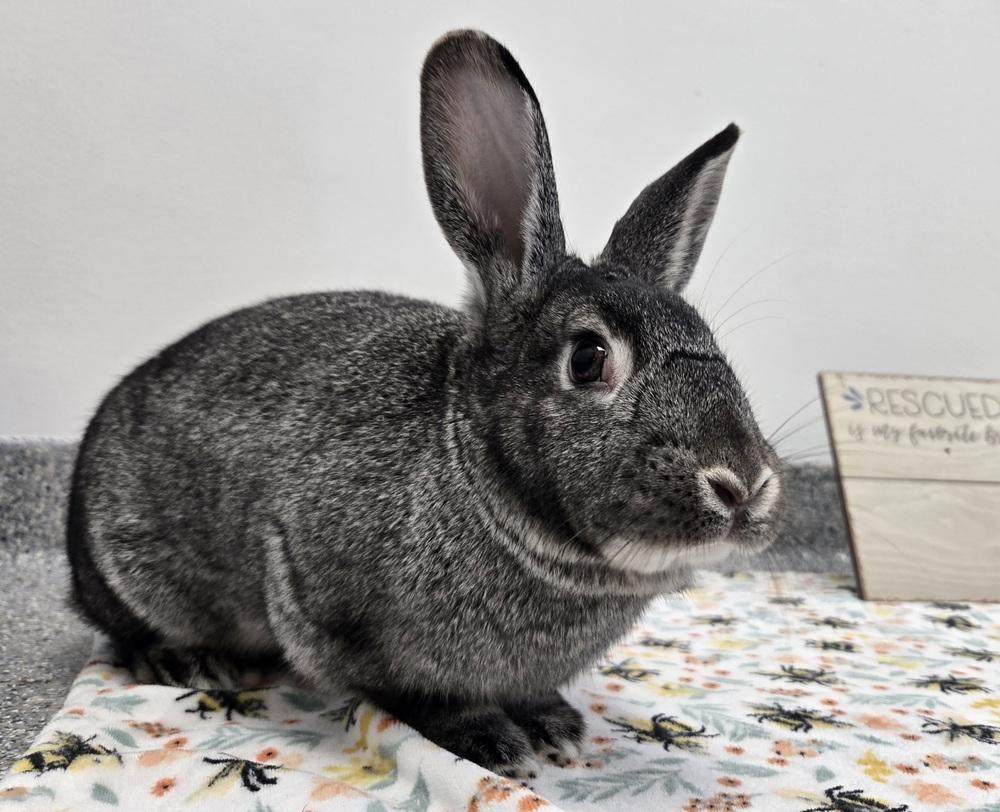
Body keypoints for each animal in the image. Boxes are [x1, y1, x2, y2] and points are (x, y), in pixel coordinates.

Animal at [66, 29, 784, 778]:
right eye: (588, 359)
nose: (745, 486)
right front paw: (496, 743)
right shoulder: (327, 604)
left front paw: (554, 724)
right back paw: (186, 662)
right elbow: (417, 695)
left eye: (711, 343)